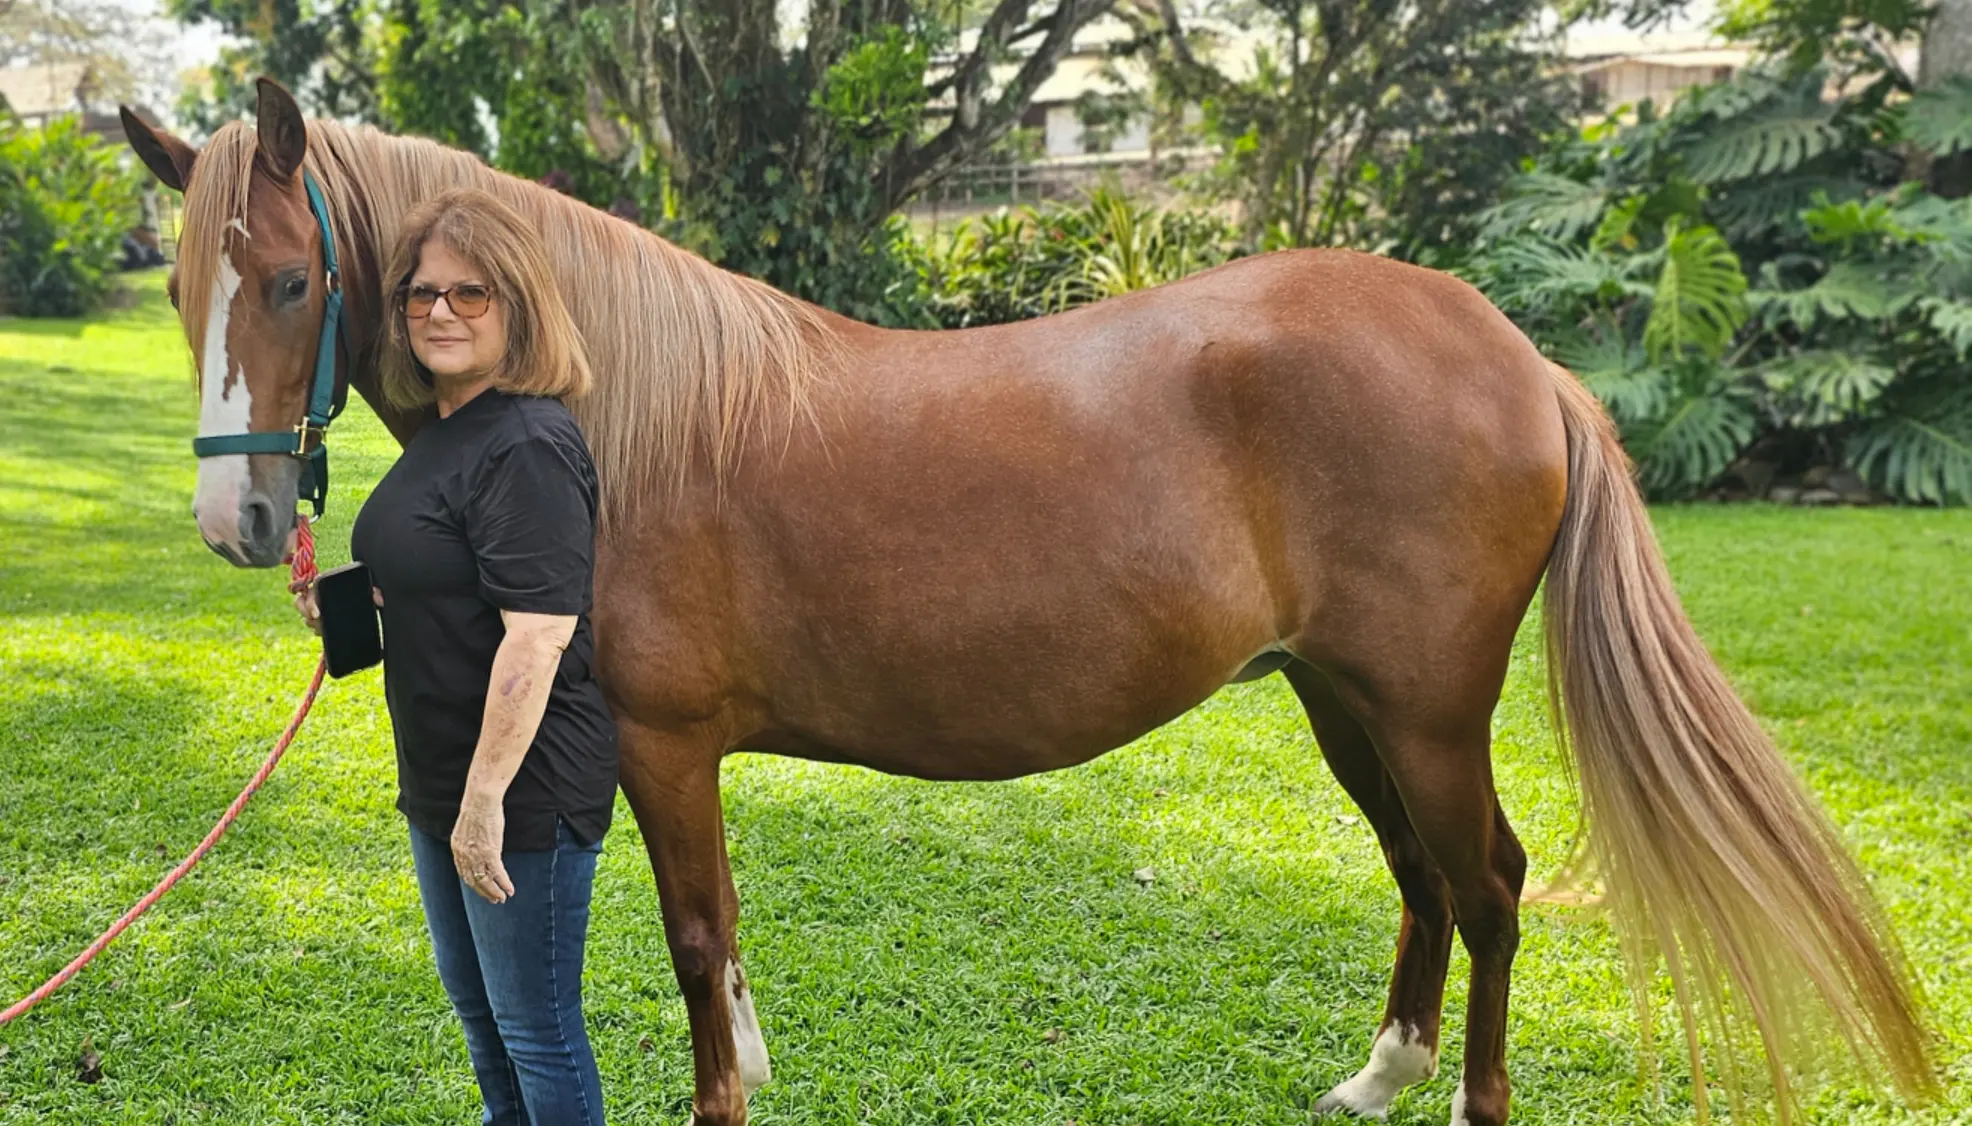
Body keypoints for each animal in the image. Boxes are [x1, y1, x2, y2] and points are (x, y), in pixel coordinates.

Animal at [119, 78, 1934, 1125]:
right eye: (181, 284)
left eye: (293, 278)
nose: (236, 518)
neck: (615, 406)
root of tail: (1514, 352)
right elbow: (722, 949)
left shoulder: (664, 743)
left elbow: (697, 942)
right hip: (1341, 697)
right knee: (1425, 874)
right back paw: (1381, 1072)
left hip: (1422, 703)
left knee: (1486, 880)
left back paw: (1470, 1095)